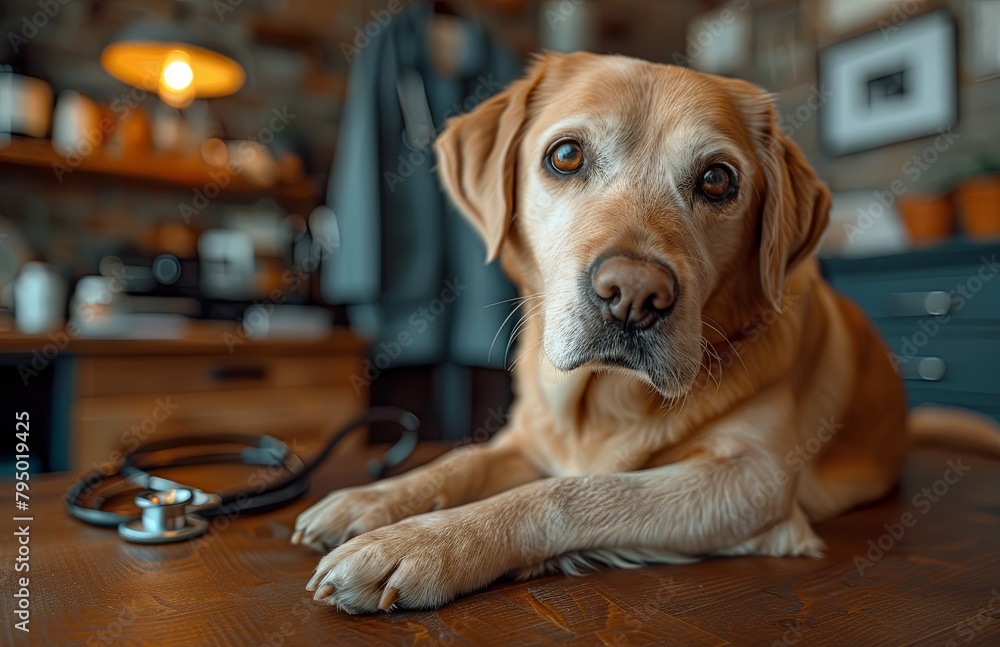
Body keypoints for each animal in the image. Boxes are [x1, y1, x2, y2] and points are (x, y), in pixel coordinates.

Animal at [292, 53, 1000, 616]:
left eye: (717, 178)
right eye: (565, 155)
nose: (632, 296)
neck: (605, 401)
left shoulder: (751, 483)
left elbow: (575, 490)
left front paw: (419, 543)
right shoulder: (524, 439)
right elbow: (460, 460)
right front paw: (370, 501)